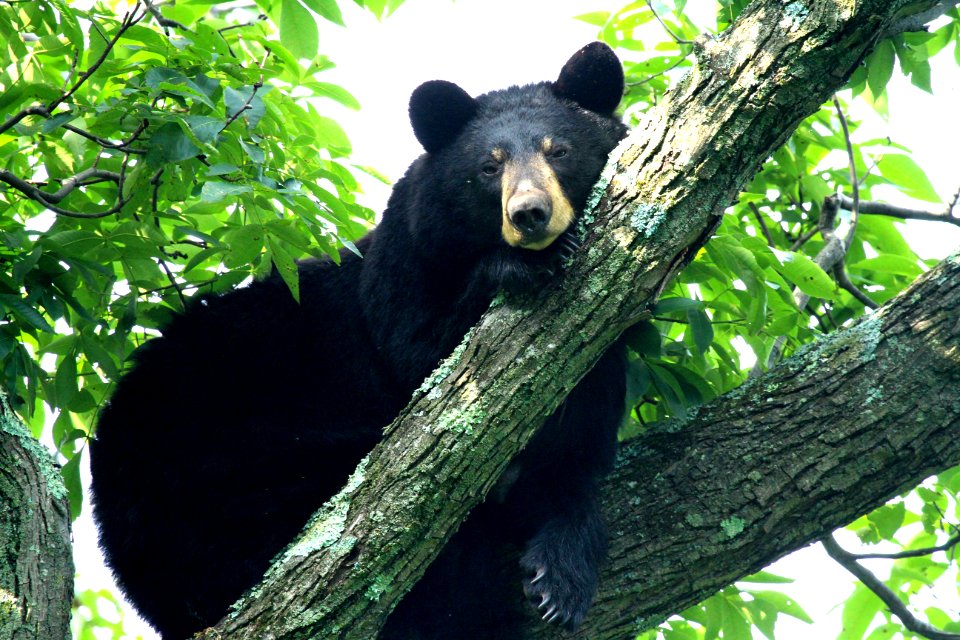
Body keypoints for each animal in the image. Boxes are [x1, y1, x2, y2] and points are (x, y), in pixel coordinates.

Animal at [90, 41, 632, 640]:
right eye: (488, 168)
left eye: (559, 151)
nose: (529, 214)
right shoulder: (396, 281)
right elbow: (424, 363)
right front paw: (517, 267)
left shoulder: (604, 343)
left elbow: (579, 446)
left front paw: (562, 571)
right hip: (230, 482)